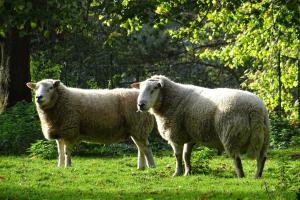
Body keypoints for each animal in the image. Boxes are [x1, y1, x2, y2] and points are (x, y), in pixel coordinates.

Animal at [26, 79, 156, 169]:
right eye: (36, 88)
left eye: (51, 87)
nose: (38, 97)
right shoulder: (60, 133)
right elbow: (60, 152)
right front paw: (60, 167)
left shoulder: (69, 131)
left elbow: (67, 151)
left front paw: (68, 166)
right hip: (135, 129)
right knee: (141, 148)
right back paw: (141, 167)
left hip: (139, 126)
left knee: (146, 147)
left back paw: (151, 167)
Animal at [132, 75, 270, 178]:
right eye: (140, 89)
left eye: (154, 89)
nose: (140, 105)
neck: (170, 100)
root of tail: (255, 109)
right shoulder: (190, 136)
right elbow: (186, 155)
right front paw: (188, 172)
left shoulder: (175, 135)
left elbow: (178, 156)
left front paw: (177, 173)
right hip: (264, 136)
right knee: (262, 158)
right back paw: (257, 176)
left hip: (231, 134)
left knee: (237, 159)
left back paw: (241, 176)